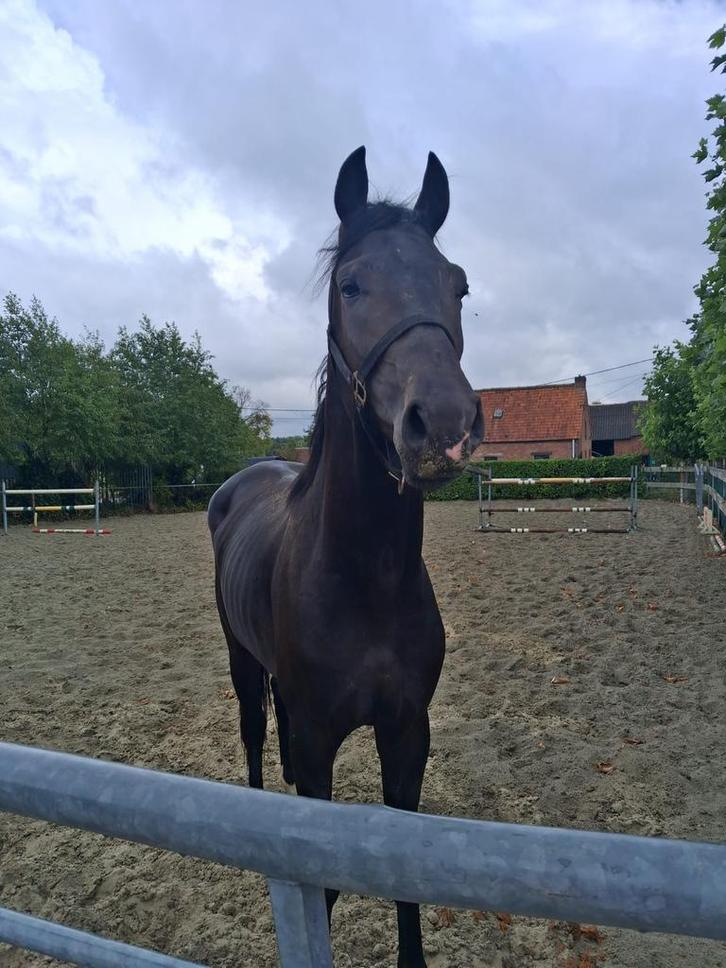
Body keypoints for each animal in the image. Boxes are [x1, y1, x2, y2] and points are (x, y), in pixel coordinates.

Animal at [208, 145, 483, 967]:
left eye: (458, 284)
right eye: (351, 283)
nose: (443, 424)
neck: (365, 582)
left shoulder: (406, 733)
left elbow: (400, 872)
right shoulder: (320, 736)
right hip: (240, 660)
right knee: (255, 736)